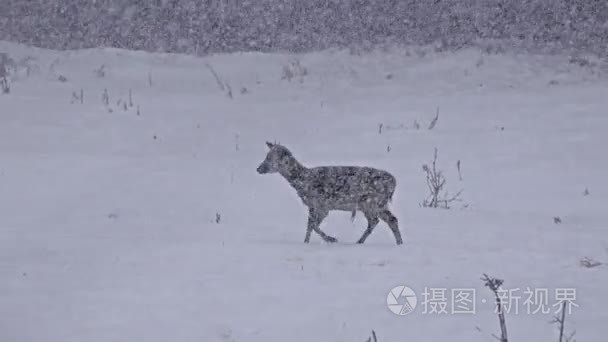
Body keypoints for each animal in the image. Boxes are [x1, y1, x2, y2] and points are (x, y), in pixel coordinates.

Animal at [256, 142, 404, 246]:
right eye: (266, 156)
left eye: (270, 158)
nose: (258, 168)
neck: (303, 182)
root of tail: (393, 182)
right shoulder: (313, 206)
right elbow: (310, 225)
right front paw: (306, 243)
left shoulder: (322, 205)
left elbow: (313, 225)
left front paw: (331, 239)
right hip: (375, 204)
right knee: (386, 220)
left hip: (372, 202)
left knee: (381, 220)